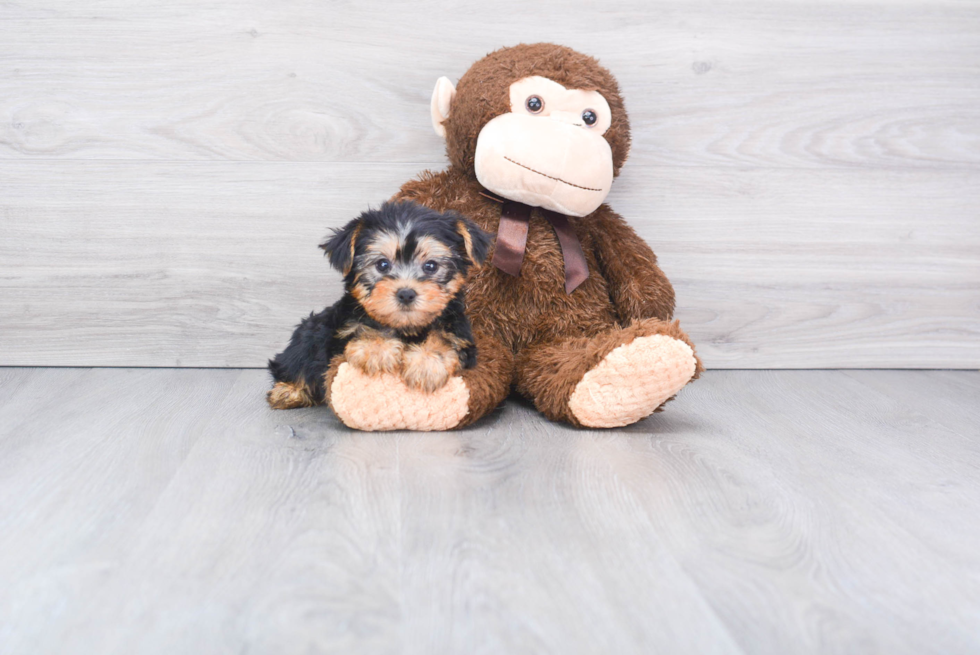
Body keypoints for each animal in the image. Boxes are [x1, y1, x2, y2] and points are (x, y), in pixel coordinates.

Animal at [266, 200, 490, 410]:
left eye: (431, 266)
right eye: (382, 264)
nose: (406, 293)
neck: (407, 328)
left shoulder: (462, 337)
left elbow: (444, 339)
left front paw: (426, 363)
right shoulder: (343, 329)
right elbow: (363, 327)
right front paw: (376, 348)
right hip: (310, 331)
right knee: (294, 360)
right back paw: (288, 392)